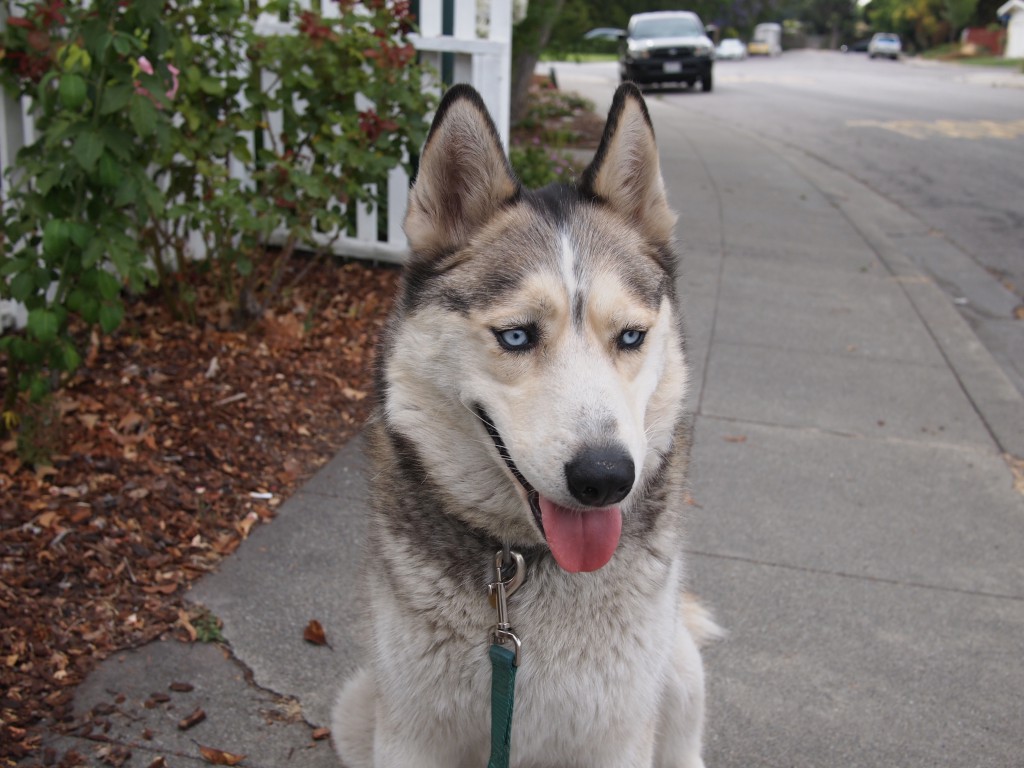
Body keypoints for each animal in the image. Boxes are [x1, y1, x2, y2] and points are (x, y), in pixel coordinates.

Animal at [331, 83, 716, 768]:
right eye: (516, 336)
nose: (605, 477)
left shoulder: (617, 736)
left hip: (677, 676)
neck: (523, 572)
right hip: (357, 710)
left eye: (631, 337)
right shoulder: (412, 735)